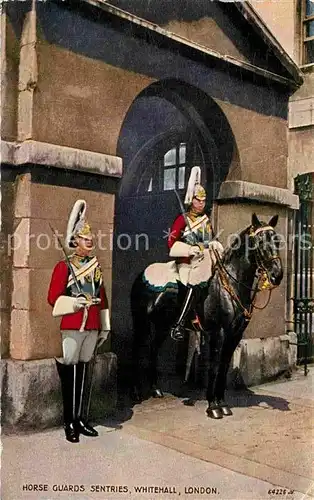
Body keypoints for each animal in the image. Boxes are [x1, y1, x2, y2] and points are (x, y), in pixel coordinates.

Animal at [131, 214, 284, 418]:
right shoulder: (217, 333)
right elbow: (214, 366)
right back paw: (136, 392)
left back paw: (156, 389)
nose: (277, 274)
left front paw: (222, 403)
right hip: (141, 322)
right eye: (259, 241)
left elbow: (224, 366)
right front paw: (213, 407)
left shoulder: (235, 335)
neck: (231, 284)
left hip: (162, 325)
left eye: (277, 240)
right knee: (137, 351)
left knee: (153, 349)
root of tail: (143, 273)